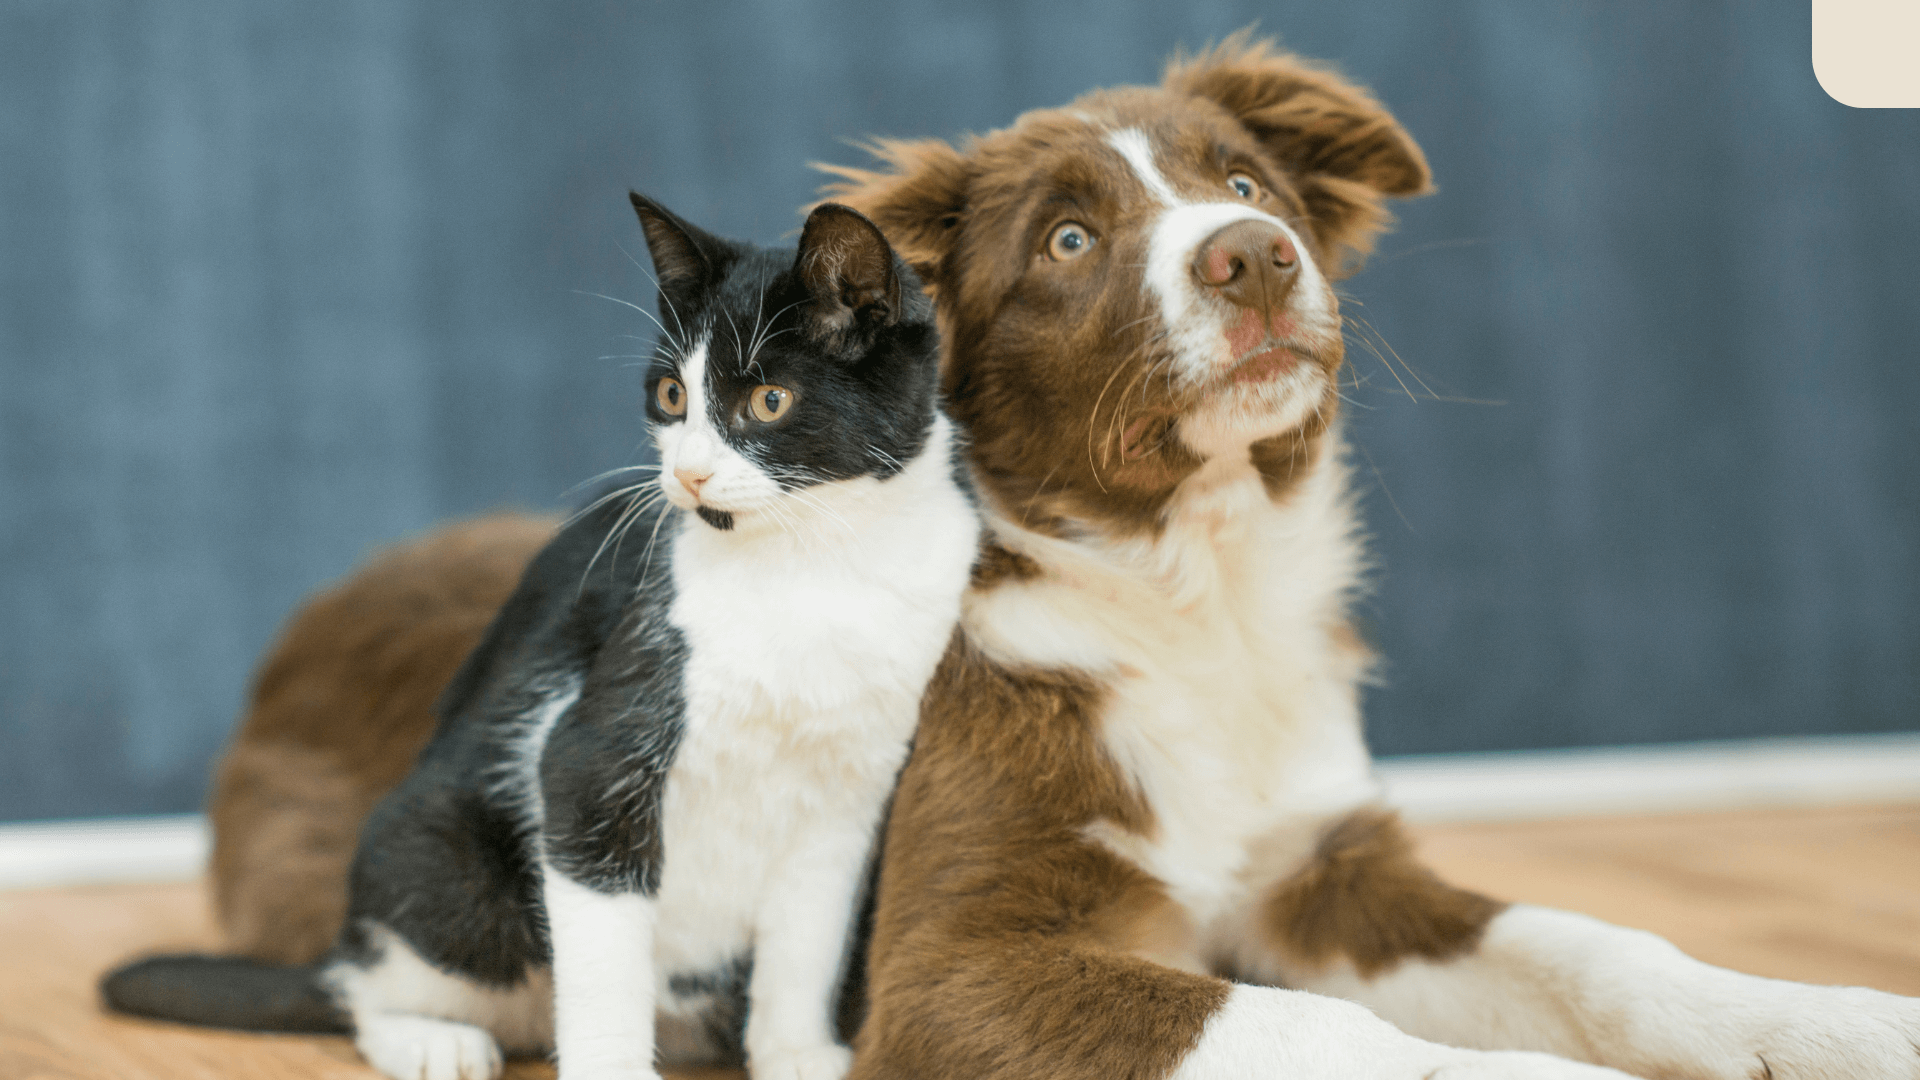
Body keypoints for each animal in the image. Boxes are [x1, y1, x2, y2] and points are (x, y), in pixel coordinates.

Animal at [103, 191, 975, 1076]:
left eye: (769, 401)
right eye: (671, 396)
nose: (687, 473)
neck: (815, 562)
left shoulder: (851, 796)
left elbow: (806, 944)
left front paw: (796, 1052)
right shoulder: (591, 755)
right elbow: (601, 951)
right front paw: (612, 1067)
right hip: (444, 862)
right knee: (370, 982)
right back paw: (430, 1037)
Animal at [810, 33, 1920, 1076]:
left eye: (1246, 185)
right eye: (1067, 240)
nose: (1254, 255)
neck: (1199, 596)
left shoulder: (1325, 871)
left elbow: (1589, 947)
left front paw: (1829, 1021)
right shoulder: (946, 970)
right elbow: (1311, 1027)